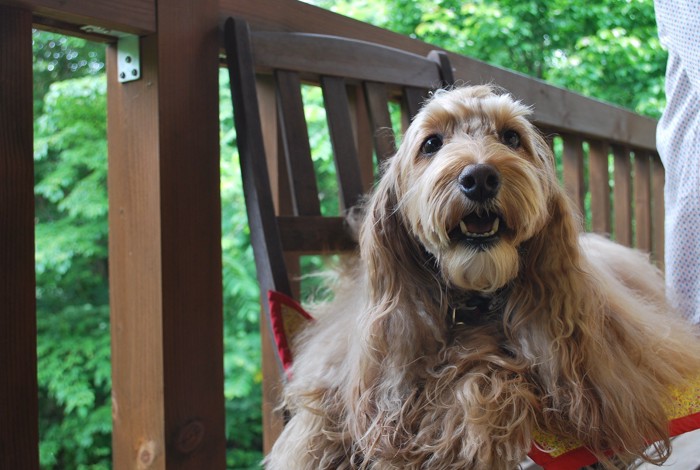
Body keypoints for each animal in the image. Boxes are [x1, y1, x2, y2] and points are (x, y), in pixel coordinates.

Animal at [262, 86, 700, 468]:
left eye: (511, 137)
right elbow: (318, 420)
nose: (480, 177)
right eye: (431, 144)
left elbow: (483, 381)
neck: (468, 303)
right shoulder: (352, 366)